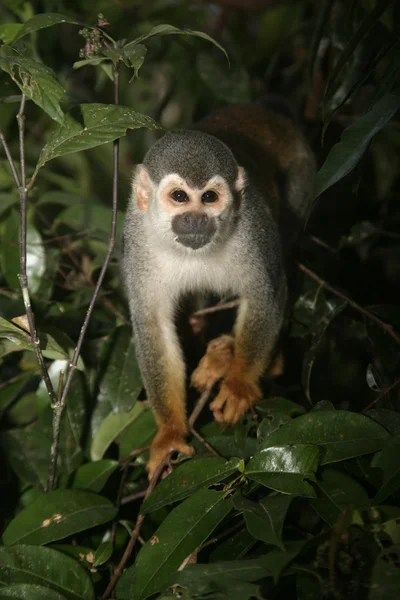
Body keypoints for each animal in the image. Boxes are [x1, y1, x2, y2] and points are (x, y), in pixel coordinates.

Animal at [120, 103, 314, 478]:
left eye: (209, 198)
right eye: (179, 197)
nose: (196, 219)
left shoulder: (252, 225)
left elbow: (266, 292)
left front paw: (238, 383)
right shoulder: (137, 241)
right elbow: (153, 328)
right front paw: (169, 433)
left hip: (302, 171)